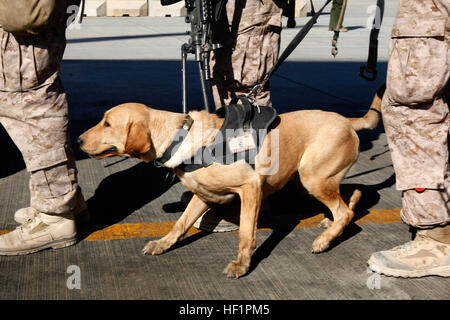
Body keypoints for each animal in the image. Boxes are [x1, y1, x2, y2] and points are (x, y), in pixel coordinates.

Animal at [79, 85, 384, 278]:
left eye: (107, 123)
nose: (78, 140)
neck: (181, 137)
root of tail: (347, 120)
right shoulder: (202, 195)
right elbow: (180, 224)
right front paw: (164, 244)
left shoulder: (251, 188)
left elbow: (246, 233)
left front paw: (242, 264)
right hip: (308, 177)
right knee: (352, 196)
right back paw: (331, 224)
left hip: (312, 178)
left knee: (344, 210)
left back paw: (325, 239)